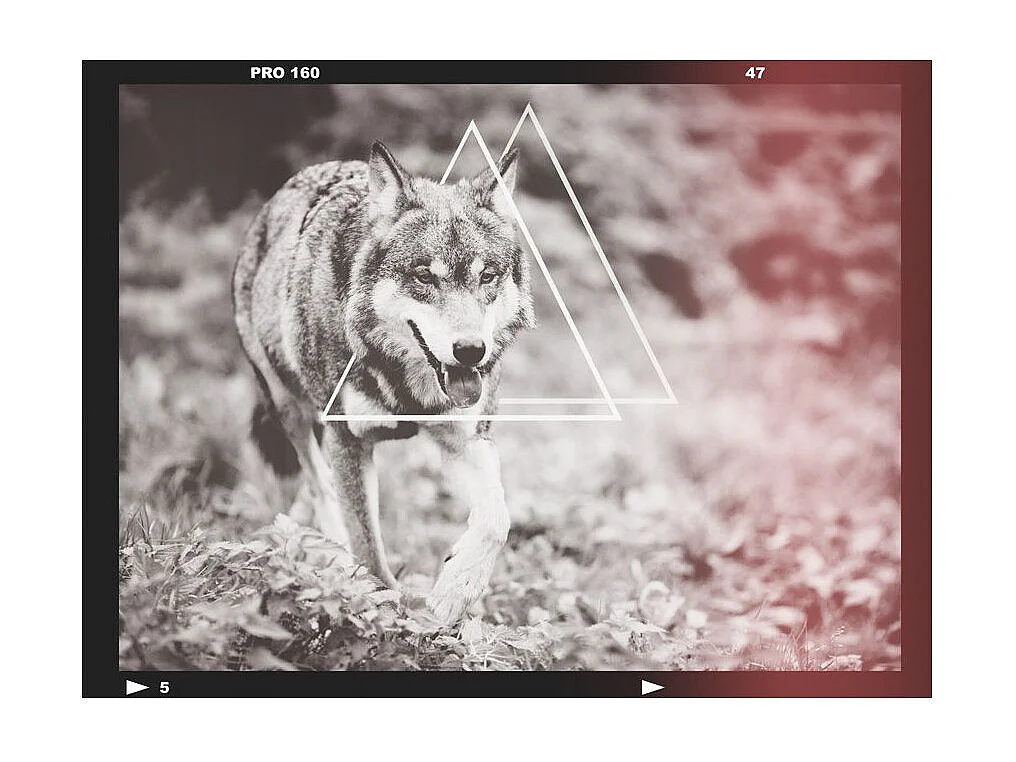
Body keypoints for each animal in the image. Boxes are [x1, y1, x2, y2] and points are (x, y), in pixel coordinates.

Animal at [232, 141, 534, 623]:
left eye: (486, 276)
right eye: (425, 276)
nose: (471, 350)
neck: (404, 381)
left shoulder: (464, 440)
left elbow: (497, 520)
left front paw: (456, 591)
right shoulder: (347, 440)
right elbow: (368, 548)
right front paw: (379, 609)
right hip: (287, 406)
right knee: (319, 484)